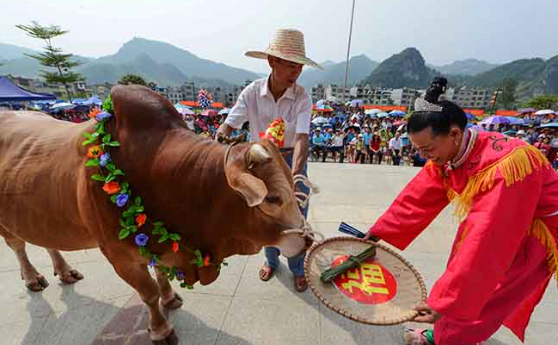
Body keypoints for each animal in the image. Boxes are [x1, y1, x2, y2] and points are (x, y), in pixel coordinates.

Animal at [0, 84, 310, 342]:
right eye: (272, 198)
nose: (307, 240)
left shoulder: (159, 241)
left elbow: (160, 274)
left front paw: (169, 298)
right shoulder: (118, 255)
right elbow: (147, 292)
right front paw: (161, 328)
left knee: (46, 240)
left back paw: (64, 271)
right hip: (6, 224)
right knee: (18, 245)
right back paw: (32, 278)